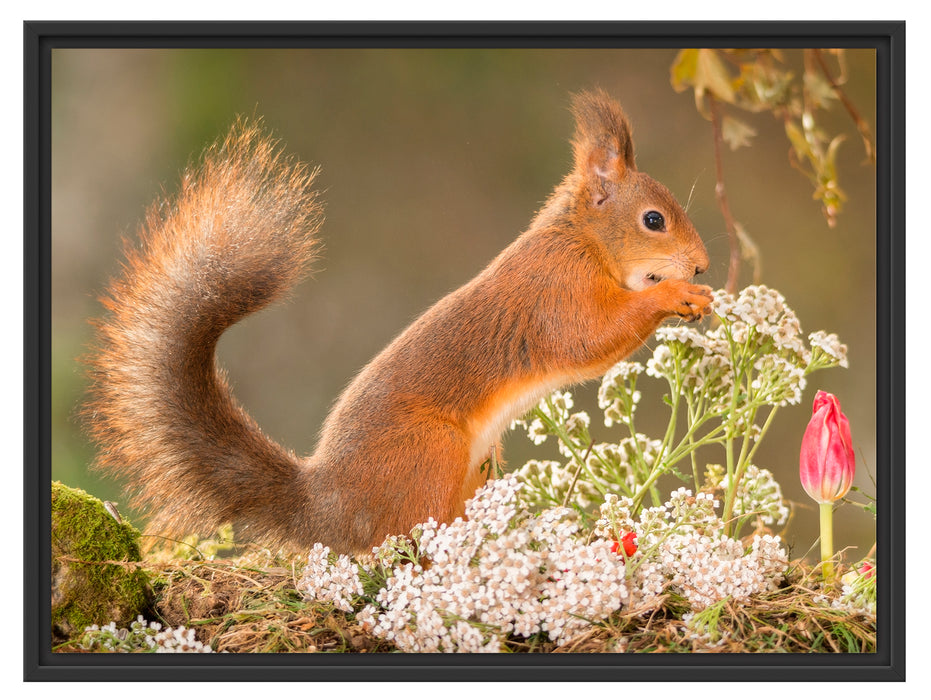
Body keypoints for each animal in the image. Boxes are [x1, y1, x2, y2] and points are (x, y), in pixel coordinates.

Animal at [85, 90, 712, 556]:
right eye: (653, 220)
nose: (703, 264)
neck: (581, 240)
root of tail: (327, 507)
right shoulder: (557, 292)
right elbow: (591, 338)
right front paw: (677, 294)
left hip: (477, 466)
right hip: (428, 455)